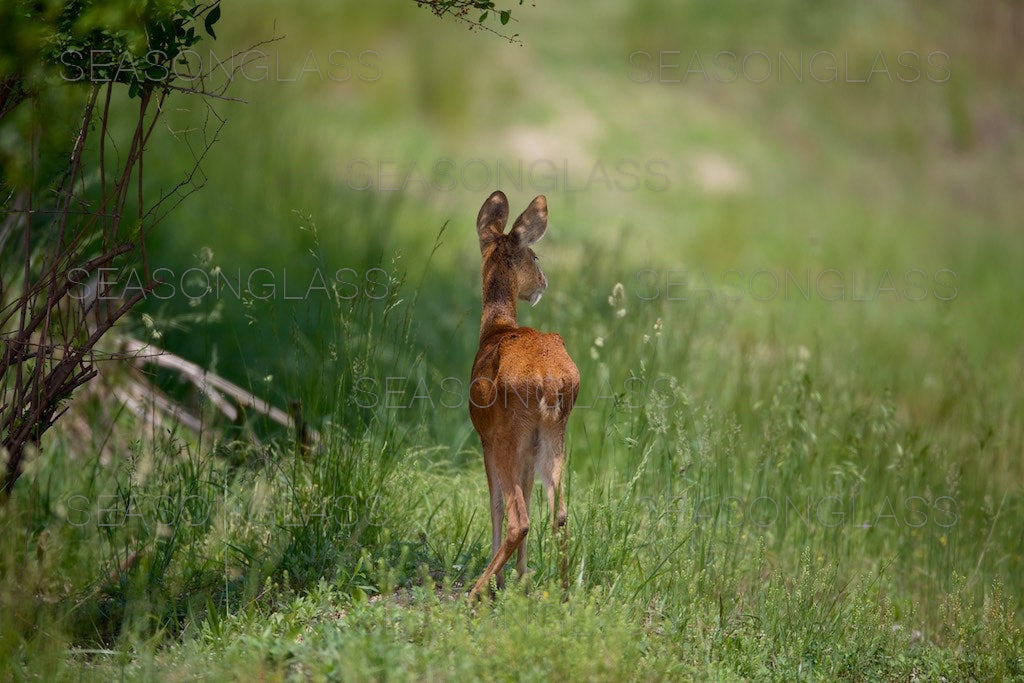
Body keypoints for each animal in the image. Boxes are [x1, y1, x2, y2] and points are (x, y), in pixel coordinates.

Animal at [468, 188, 581, 602]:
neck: (497, 328)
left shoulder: (486, 437)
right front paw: (519, 577)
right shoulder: (528, 446)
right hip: (553, 433)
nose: (544, 281)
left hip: (507, 433)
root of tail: (550, 380)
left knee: (520, 517)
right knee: (559, 512)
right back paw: (563, 593)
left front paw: (503, 581)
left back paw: (476, 591)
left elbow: (495, 504)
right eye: (536, 256)